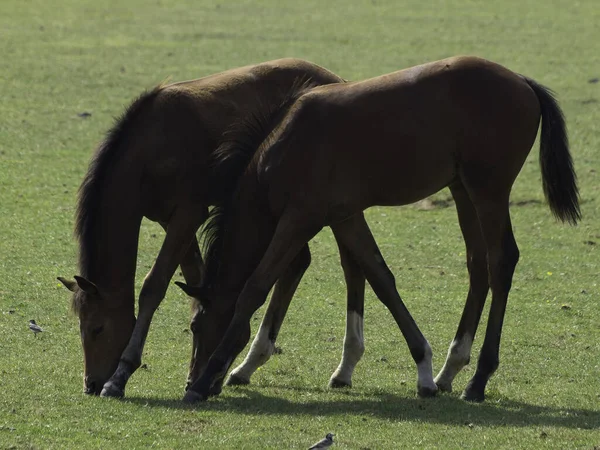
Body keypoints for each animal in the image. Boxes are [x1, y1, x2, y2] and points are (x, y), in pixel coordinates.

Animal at [59, 57, 346, 398]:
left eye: (97, 328)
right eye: (80, 326)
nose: (90, 384)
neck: (150, 145)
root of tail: (335, 79)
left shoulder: (189, 212)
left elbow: (153, 287)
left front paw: (122, 374)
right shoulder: (168, 218)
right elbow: (197, 283)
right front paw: (203, 368)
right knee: (297, 263)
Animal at [179, 55, 580, 404]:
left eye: (196, 326)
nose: (190, 378)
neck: (282, 147)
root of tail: (523, 82)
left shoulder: (300, 219)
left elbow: (255, 288)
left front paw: (206, 379)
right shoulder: (345, 216)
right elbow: (380, 277)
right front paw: (422, 369)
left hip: (488, 191)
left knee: (501, 261)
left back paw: (478, 379)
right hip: (463, 190)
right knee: (477, 265)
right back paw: (449, 371)